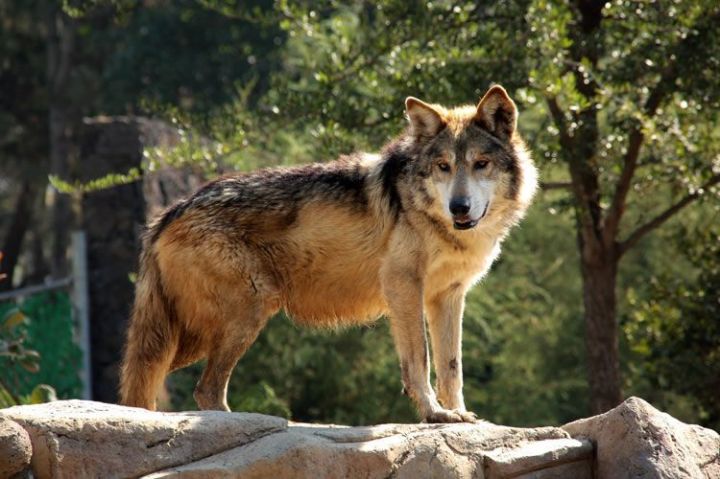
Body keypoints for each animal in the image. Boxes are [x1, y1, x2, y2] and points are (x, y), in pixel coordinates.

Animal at [119, 85, 537, 423]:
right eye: (443, 167)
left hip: (195, 335)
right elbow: (419, 359)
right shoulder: (403, 285)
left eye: (481, 164)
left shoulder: (447, 296)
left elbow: (452, 366)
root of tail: (167, 214)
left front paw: (459, 415)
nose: (459, 207)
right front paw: (435, 414)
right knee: (203, 390)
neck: (434, 220)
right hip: (241, 314)